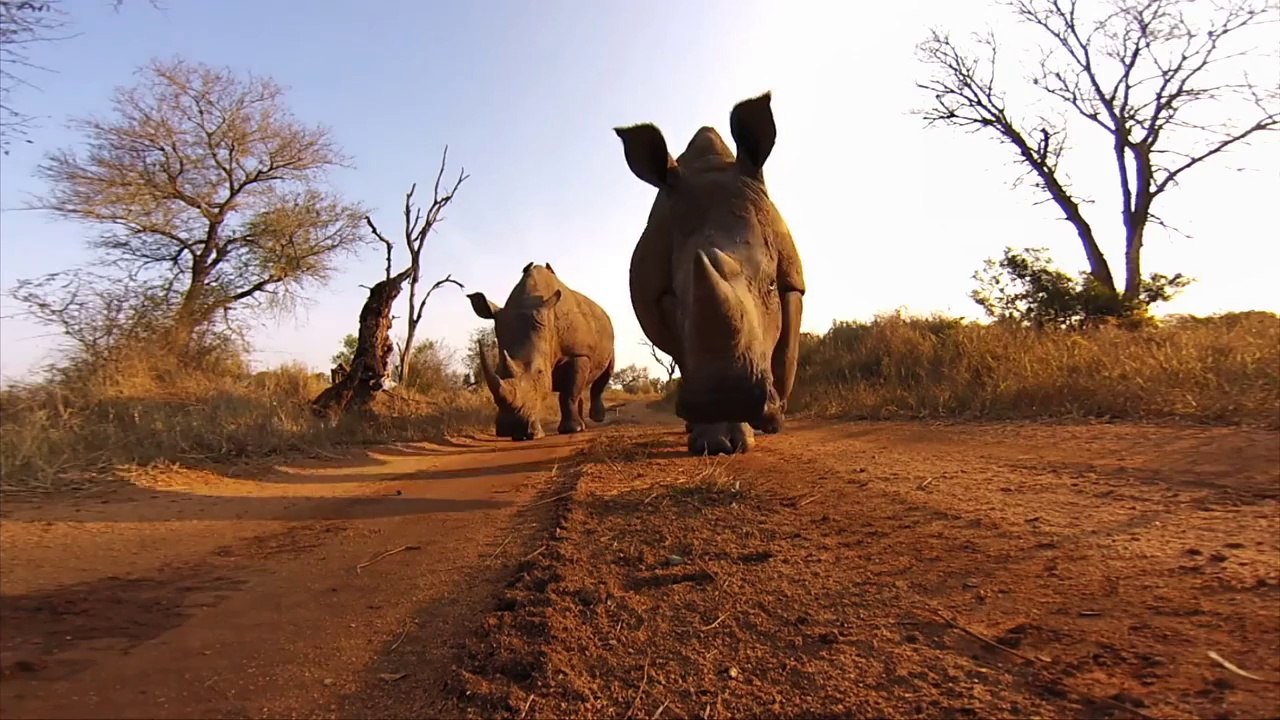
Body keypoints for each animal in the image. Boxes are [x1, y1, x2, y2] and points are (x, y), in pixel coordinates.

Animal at [468, 262, 616, 441]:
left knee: (606, 372)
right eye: (497, 371)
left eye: (540, 373)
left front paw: (570, 430)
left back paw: (594, 419)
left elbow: (568, 394)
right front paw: (525, 435)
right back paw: (582, 424)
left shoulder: (578, 353)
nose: (511, 426)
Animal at [613, 91, 806, 455]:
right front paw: (714, 441)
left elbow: (785, 351)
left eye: (772, 285)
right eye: (672, 295)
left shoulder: (793, 281)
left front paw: (769, 423)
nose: (724, 397)